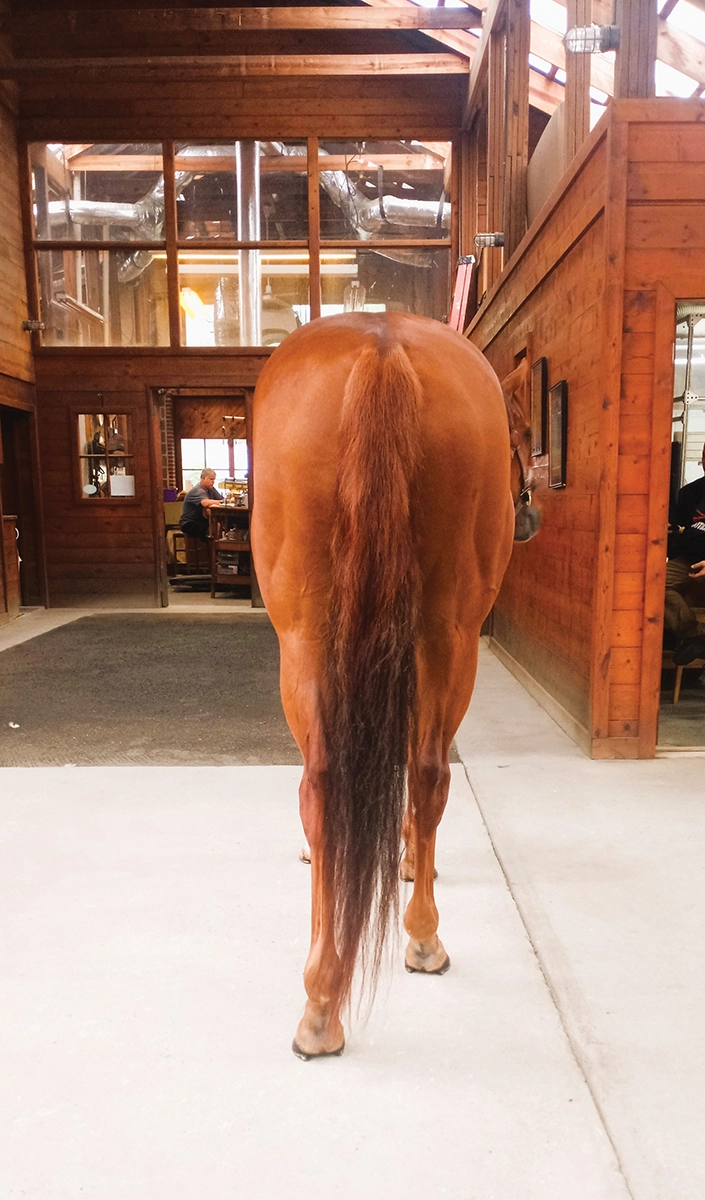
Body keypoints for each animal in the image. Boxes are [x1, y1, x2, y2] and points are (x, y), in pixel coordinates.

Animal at [251, 311, 539, 1059]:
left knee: (341, 779)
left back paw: (350, 980)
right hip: (436, 633)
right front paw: (408, 855)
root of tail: (382, 345)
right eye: (525, 432)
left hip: (317, 638)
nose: (530, 514)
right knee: (412, 772)